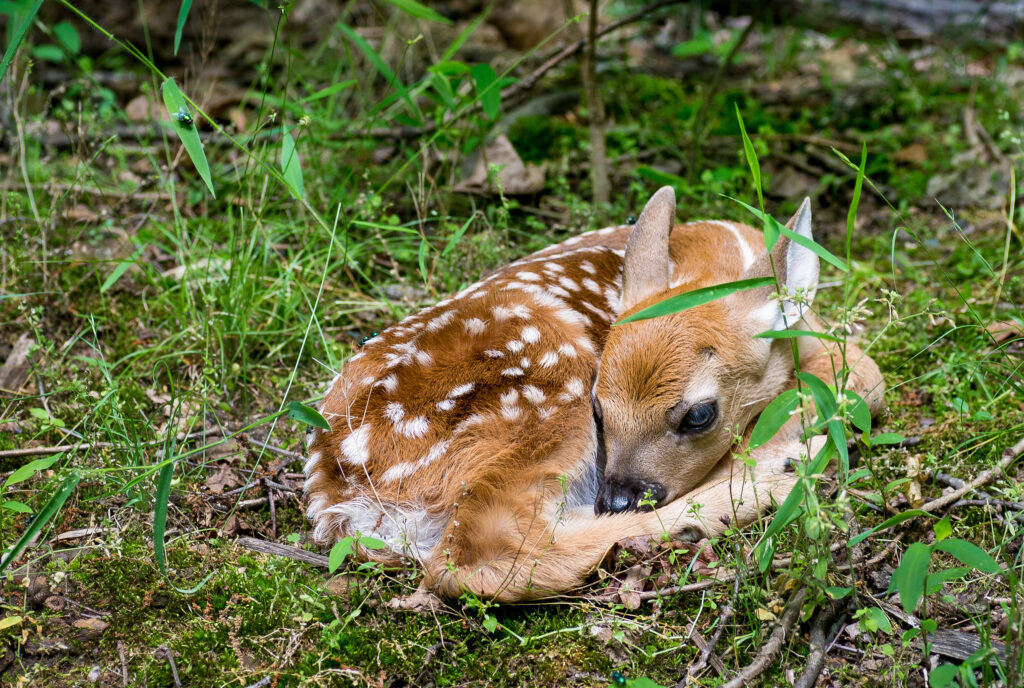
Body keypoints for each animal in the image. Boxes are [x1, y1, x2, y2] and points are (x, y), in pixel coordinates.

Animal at [303, 186, 885, 602]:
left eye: (699, 415)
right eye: (601, 407)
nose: (618, 497)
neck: (718, 264)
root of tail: (337, 497)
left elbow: (862, 377)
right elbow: (866, 378)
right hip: (547, 389)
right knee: (478, 554)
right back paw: (766, 482)